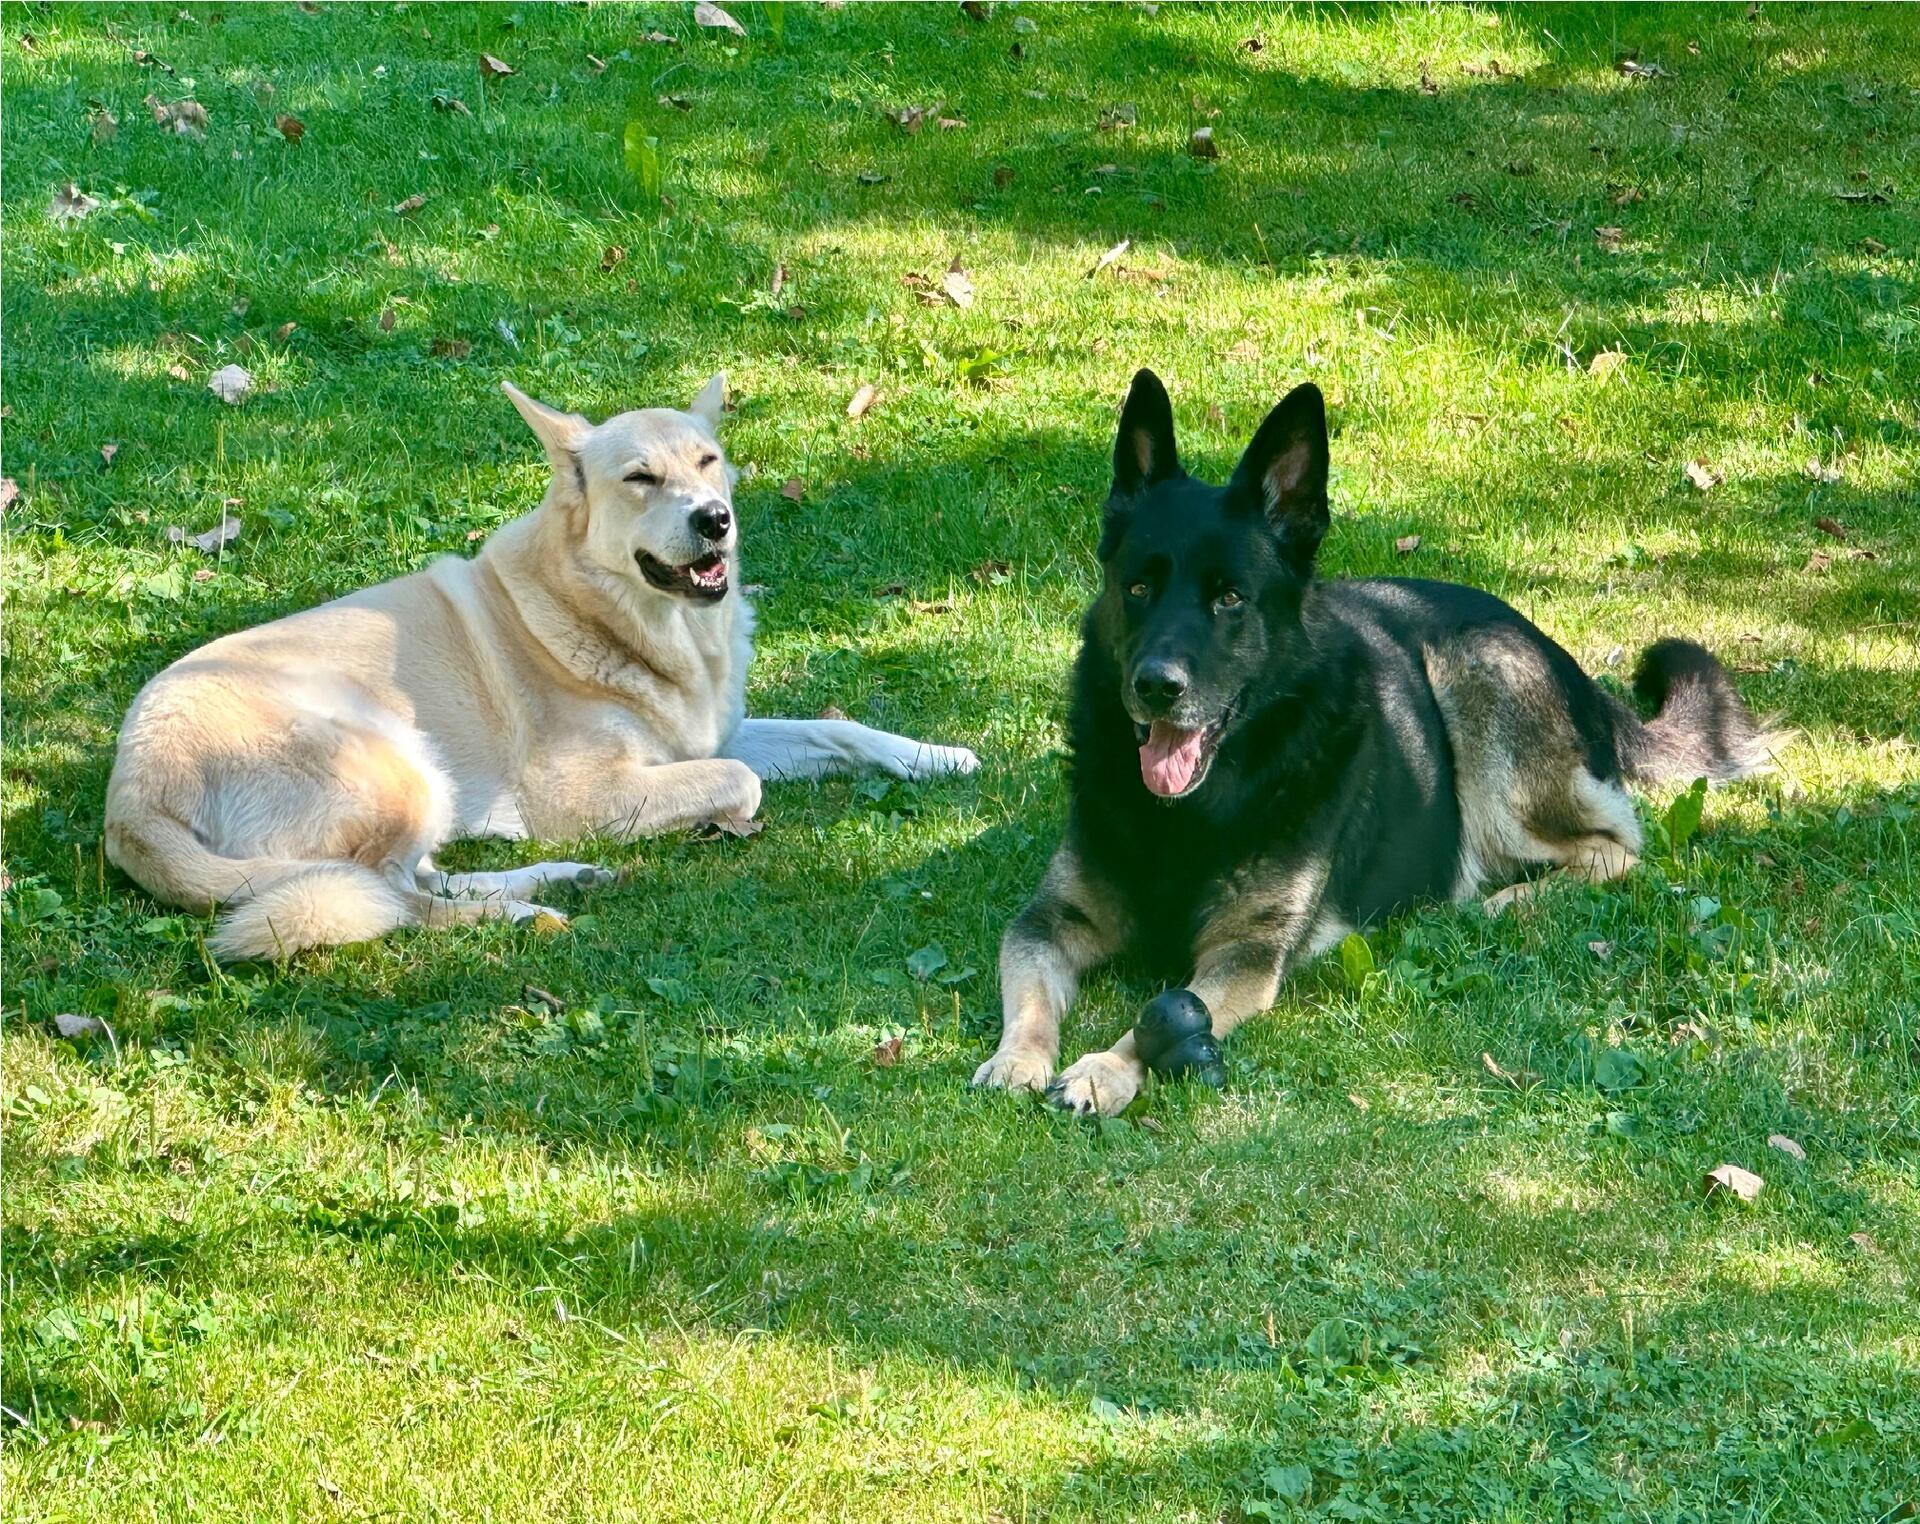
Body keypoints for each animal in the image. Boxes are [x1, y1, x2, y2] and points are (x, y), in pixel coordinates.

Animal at [105, 374, 975, 955]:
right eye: (640, 478)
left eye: (708, 461)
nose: (715, 519)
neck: (635, 625)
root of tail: (132, 798)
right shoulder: (587, 791)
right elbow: (742, 781)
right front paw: (719, 817)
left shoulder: (716, 734)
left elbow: (842, 730)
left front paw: (935, 755)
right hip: (396, 763)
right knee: (383, 894)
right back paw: (520, 912)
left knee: (407, 878)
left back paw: (554, 878)